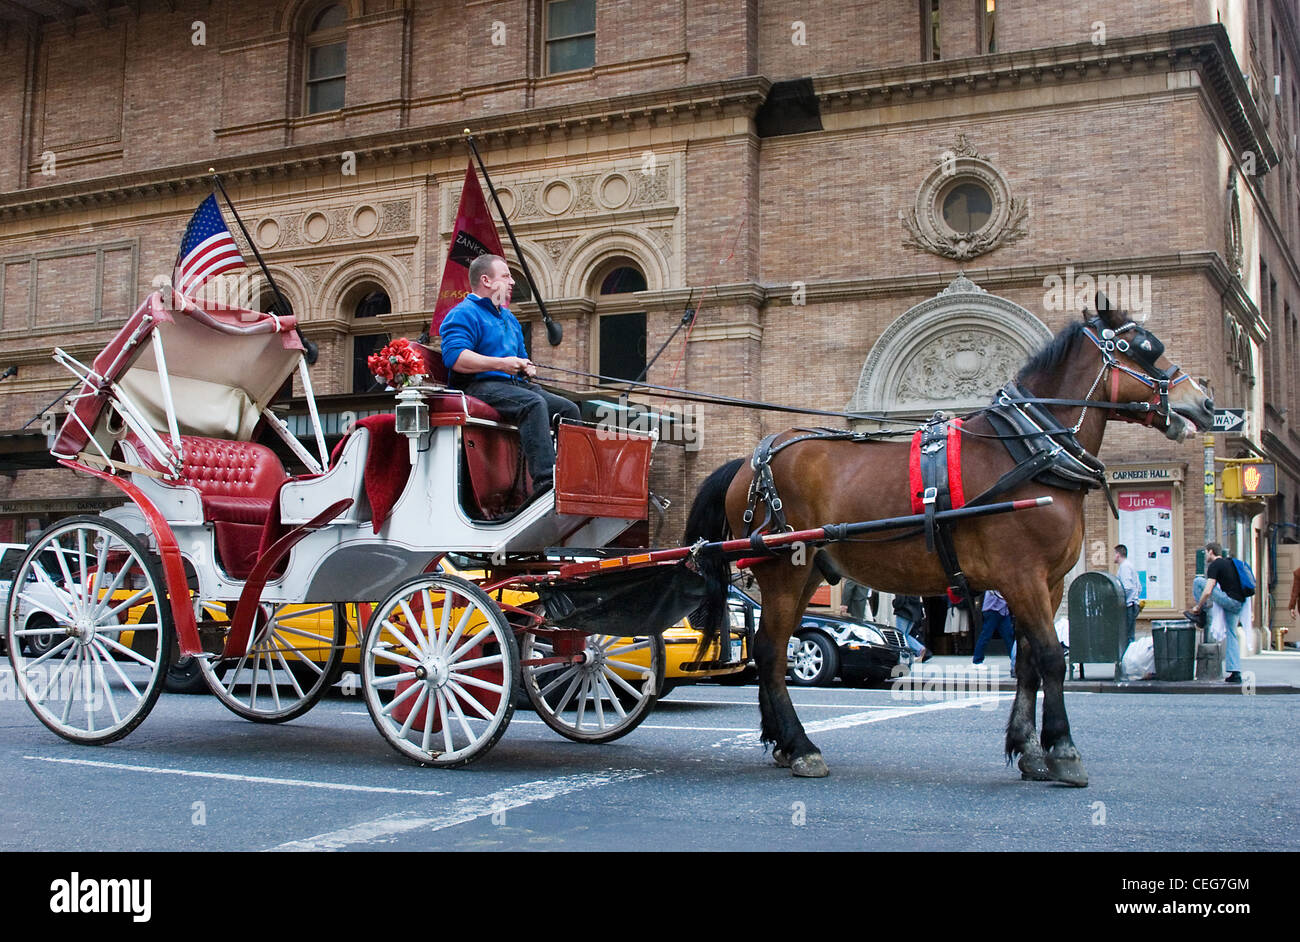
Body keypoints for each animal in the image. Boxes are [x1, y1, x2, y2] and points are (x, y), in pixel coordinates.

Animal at [686, 298, 1211, 779]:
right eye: (1144, 348)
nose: (1203, 402)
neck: (1029, 450)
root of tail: (750, 460)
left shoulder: (1049, 582)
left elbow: (1029, 664)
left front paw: (1029, 750)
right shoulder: (1022, 576)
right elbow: (1050, 658)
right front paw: (1062, 750)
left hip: (806, 573)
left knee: (772, 650)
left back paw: (780, 742)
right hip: (784, 571)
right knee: (772, 652)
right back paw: (800, 746)